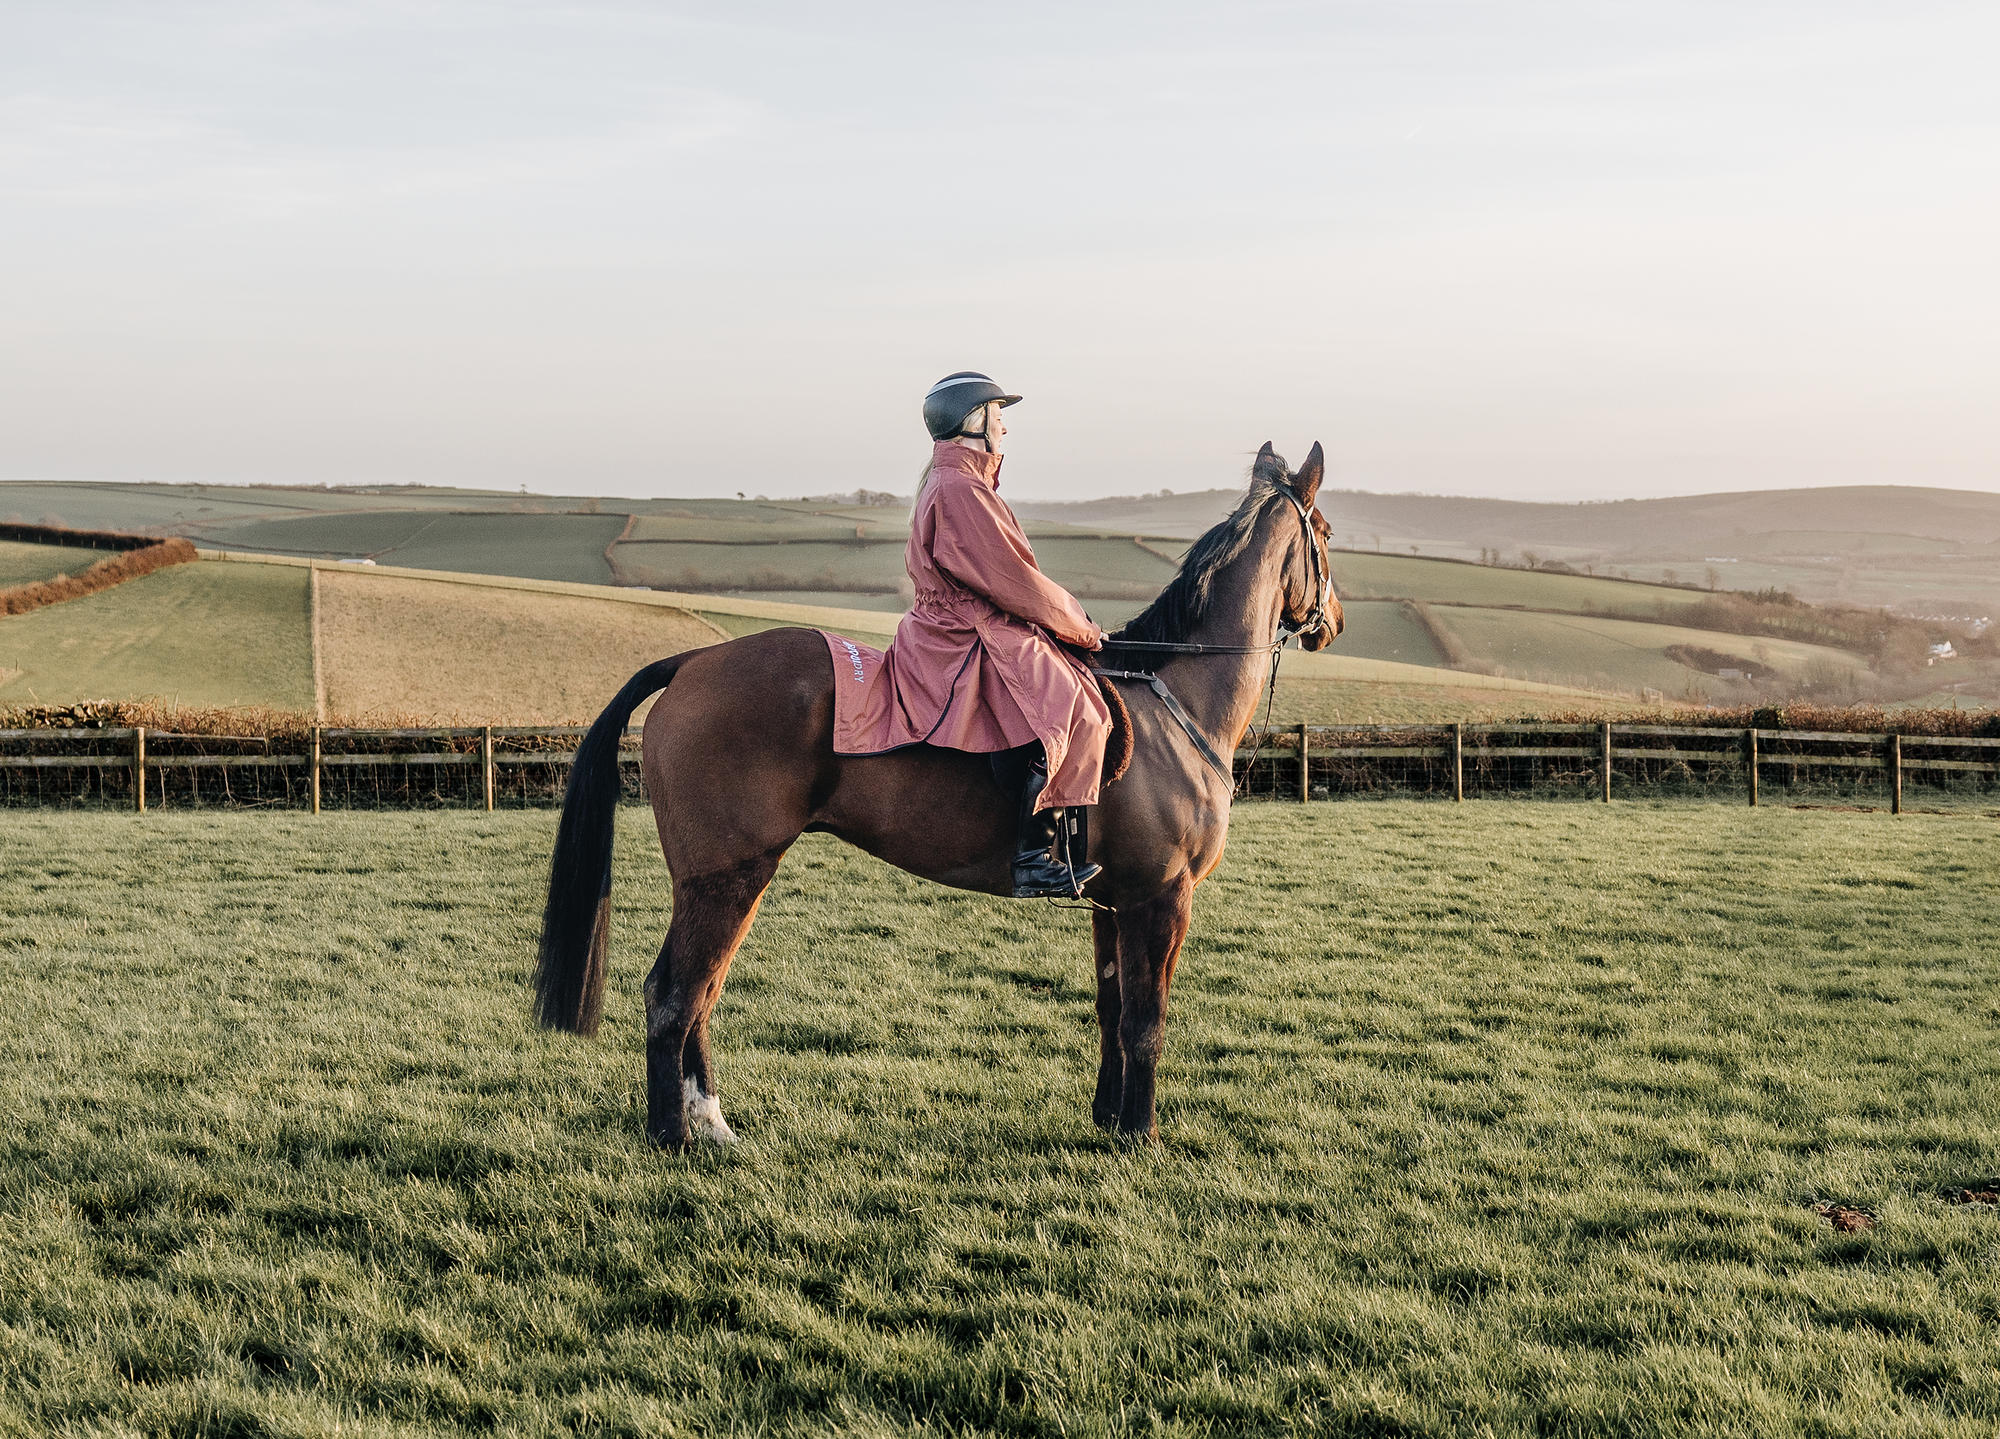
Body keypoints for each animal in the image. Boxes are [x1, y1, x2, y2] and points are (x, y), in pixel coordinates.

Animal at [540, 441, 1336, 1143]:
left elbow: (1112, 1010)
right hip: (723, 879)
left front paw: (1109, 1120)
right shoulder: (1161, 899)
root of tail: (695, 660)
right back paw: (672, 1135)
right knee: (674, 996)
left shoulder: (1114, 902)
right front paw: (1140, 1134)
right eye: (1325, 534)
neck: (1176, 698)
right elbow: (1146, 1021)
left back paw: (709, 1123)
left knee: (701, 993)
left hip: (739, 880)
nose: (1332, 623)